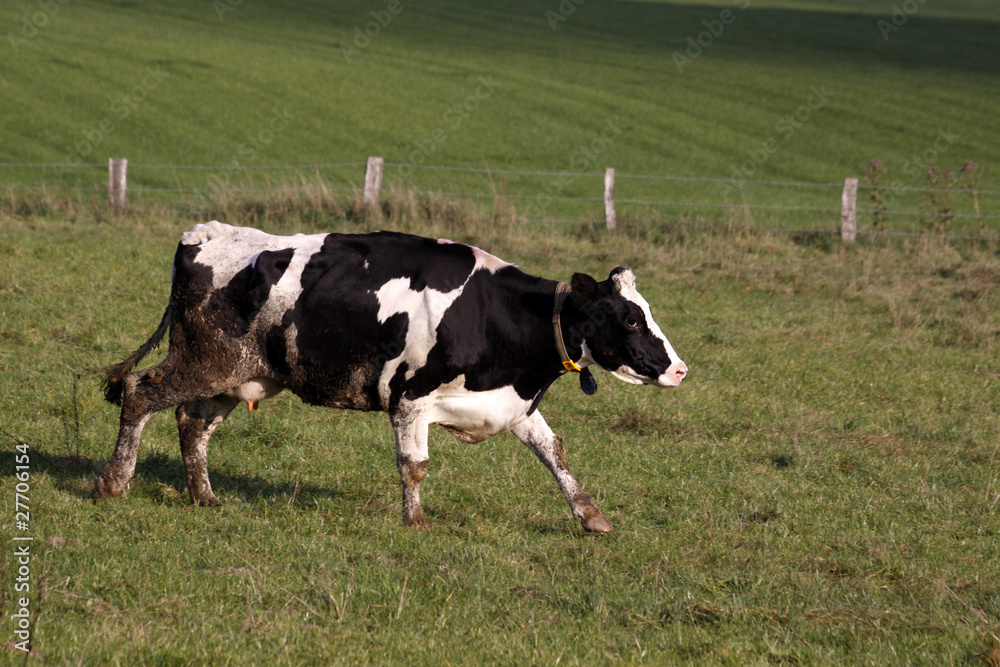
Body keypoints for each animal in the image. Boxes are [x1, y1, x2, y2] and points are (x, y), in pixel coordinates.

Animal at [95, 222, 688, 536]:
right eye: (629, 319)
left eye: (645, 311)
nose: (679, 368)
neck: (495, 315)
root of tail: (205, 233)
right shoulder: (411, 400)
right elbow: (414, 465)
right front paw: (416, 520)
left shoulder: (513, 403)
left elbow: (555, 453)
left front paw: (591, 516)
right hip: (205, 361)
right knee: (141, 392)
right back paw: (114, 482)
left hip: (240, 375)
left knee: (191, 422)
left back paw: (204, 496)